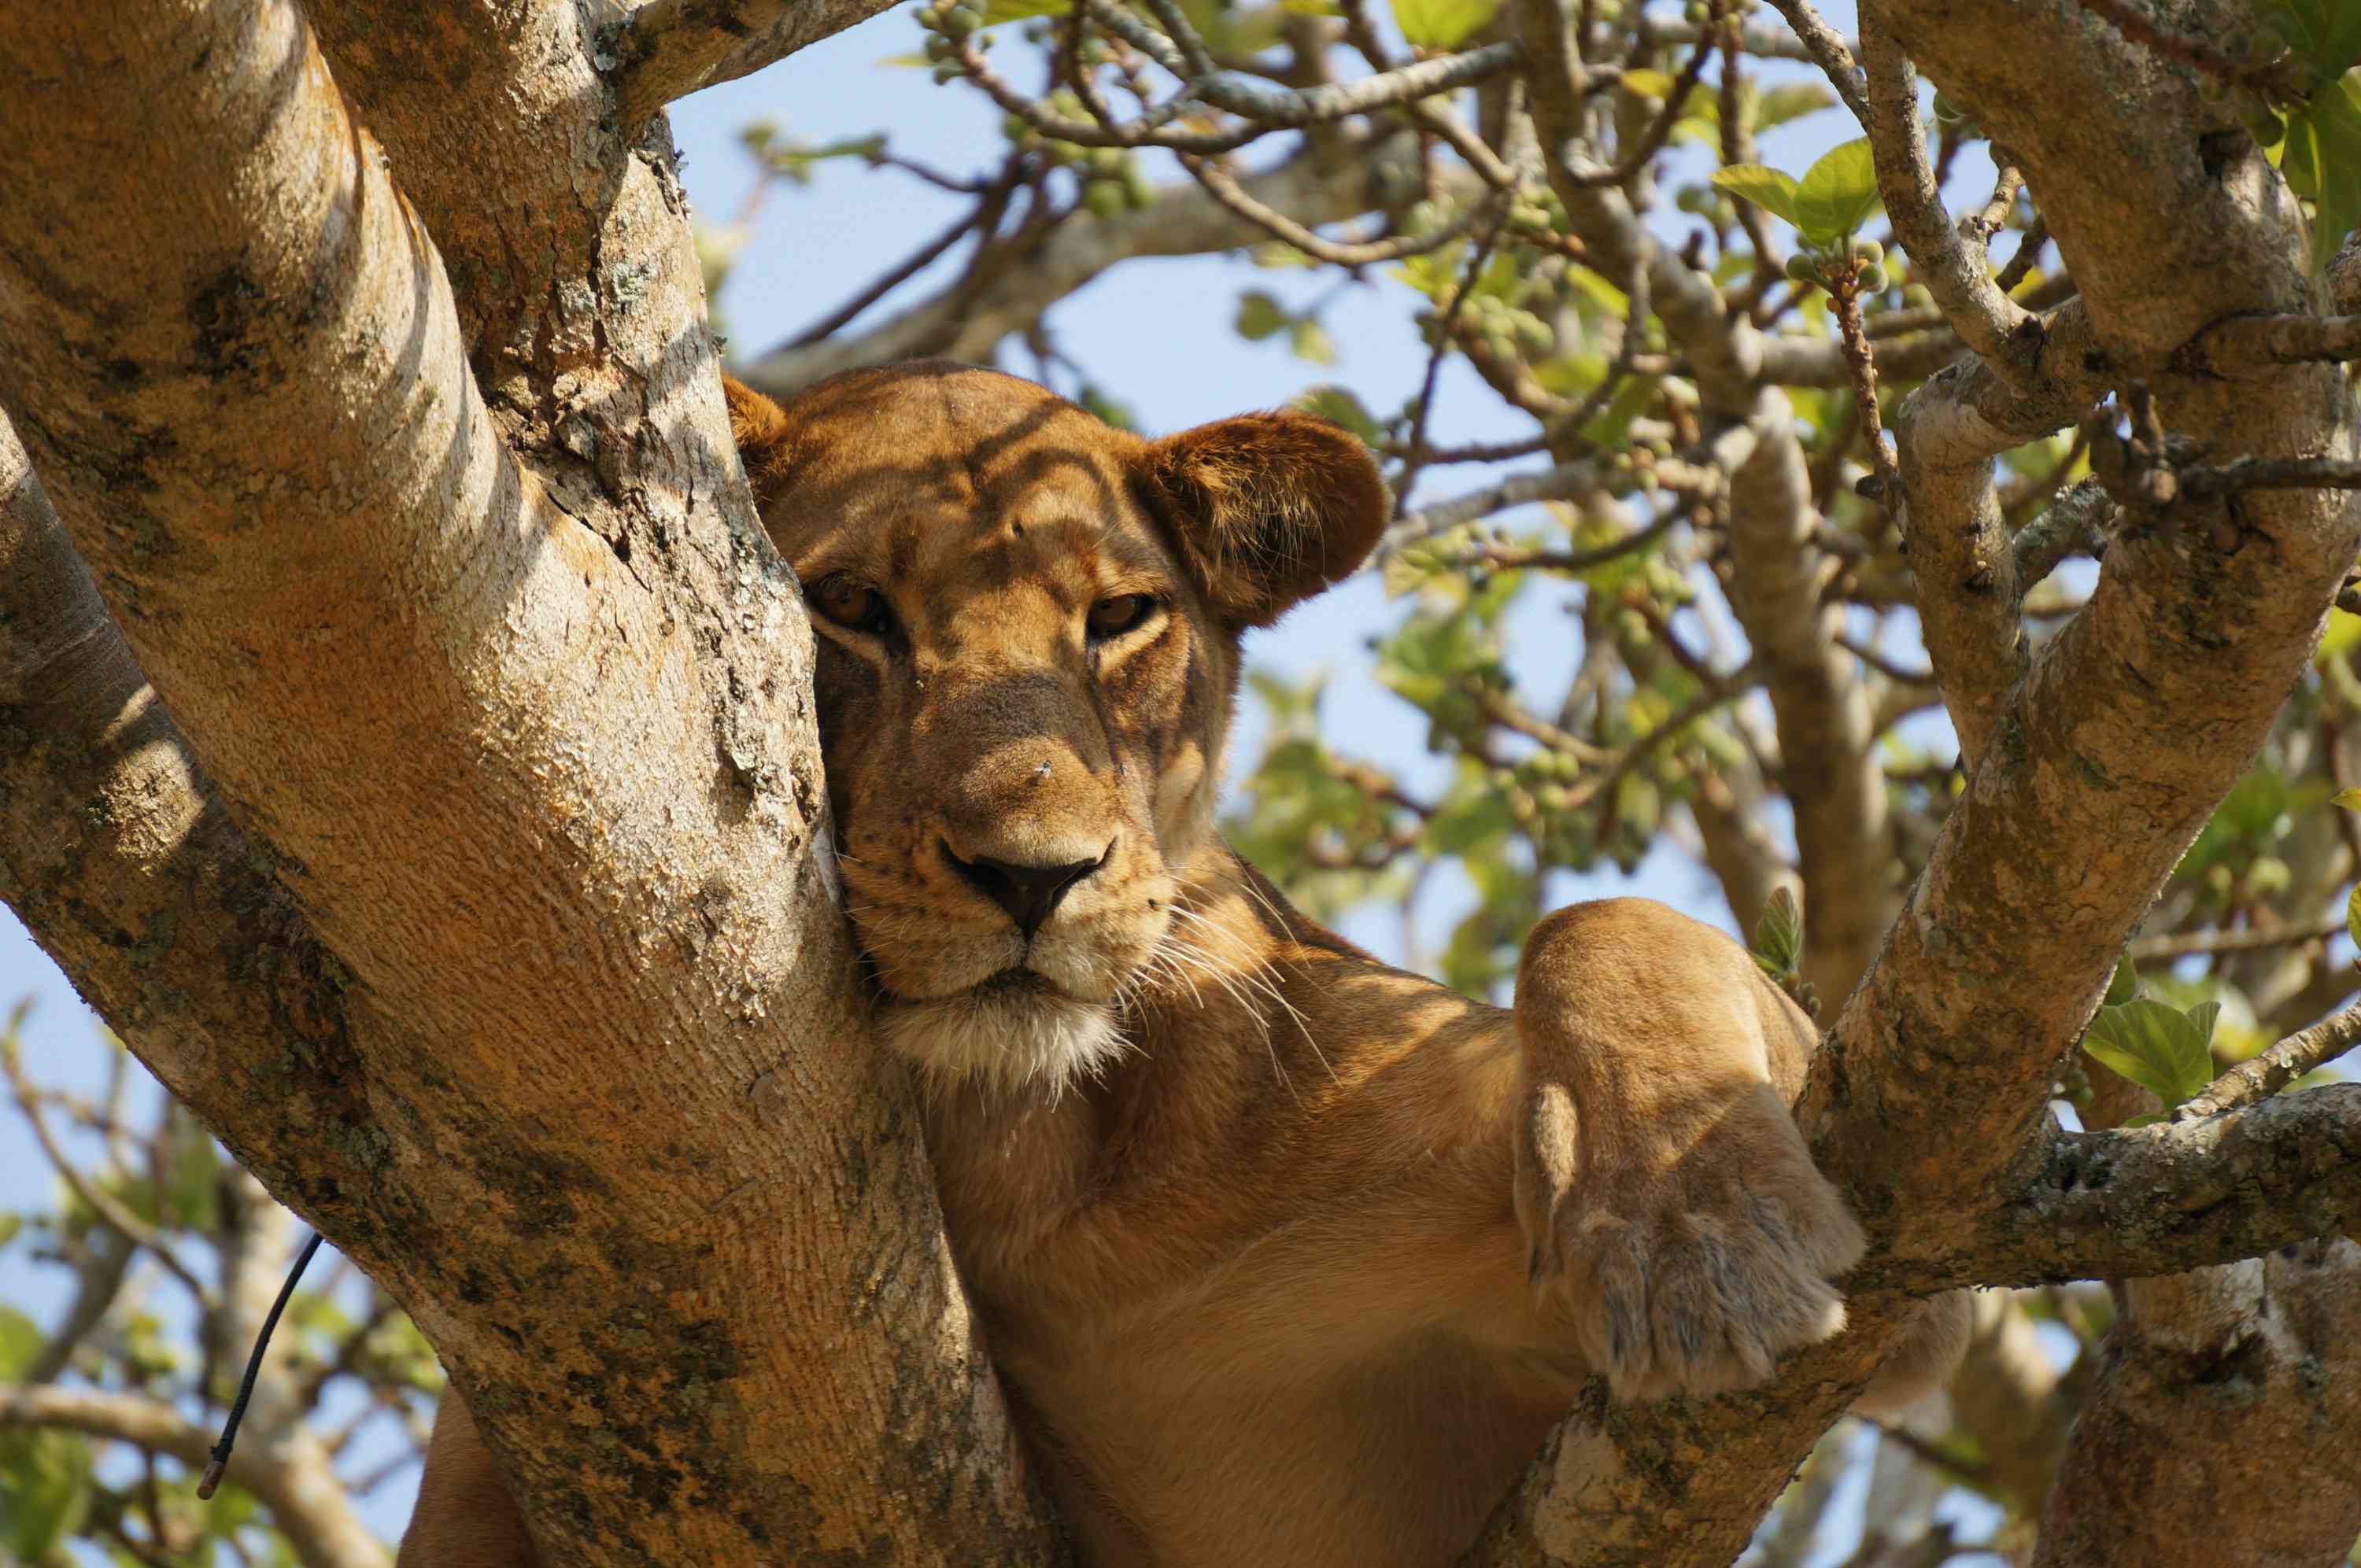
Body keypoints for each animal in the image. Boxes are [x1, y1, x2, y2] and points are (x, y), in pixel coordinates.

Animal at [399, 362, 1967, 1568]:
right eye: (846, 604)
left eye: (1118, 618)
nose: (1034, 875)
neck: (1027, 1162)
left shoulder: (1880, 1304)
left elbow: (1606, 926)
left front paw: (1692, 1228)